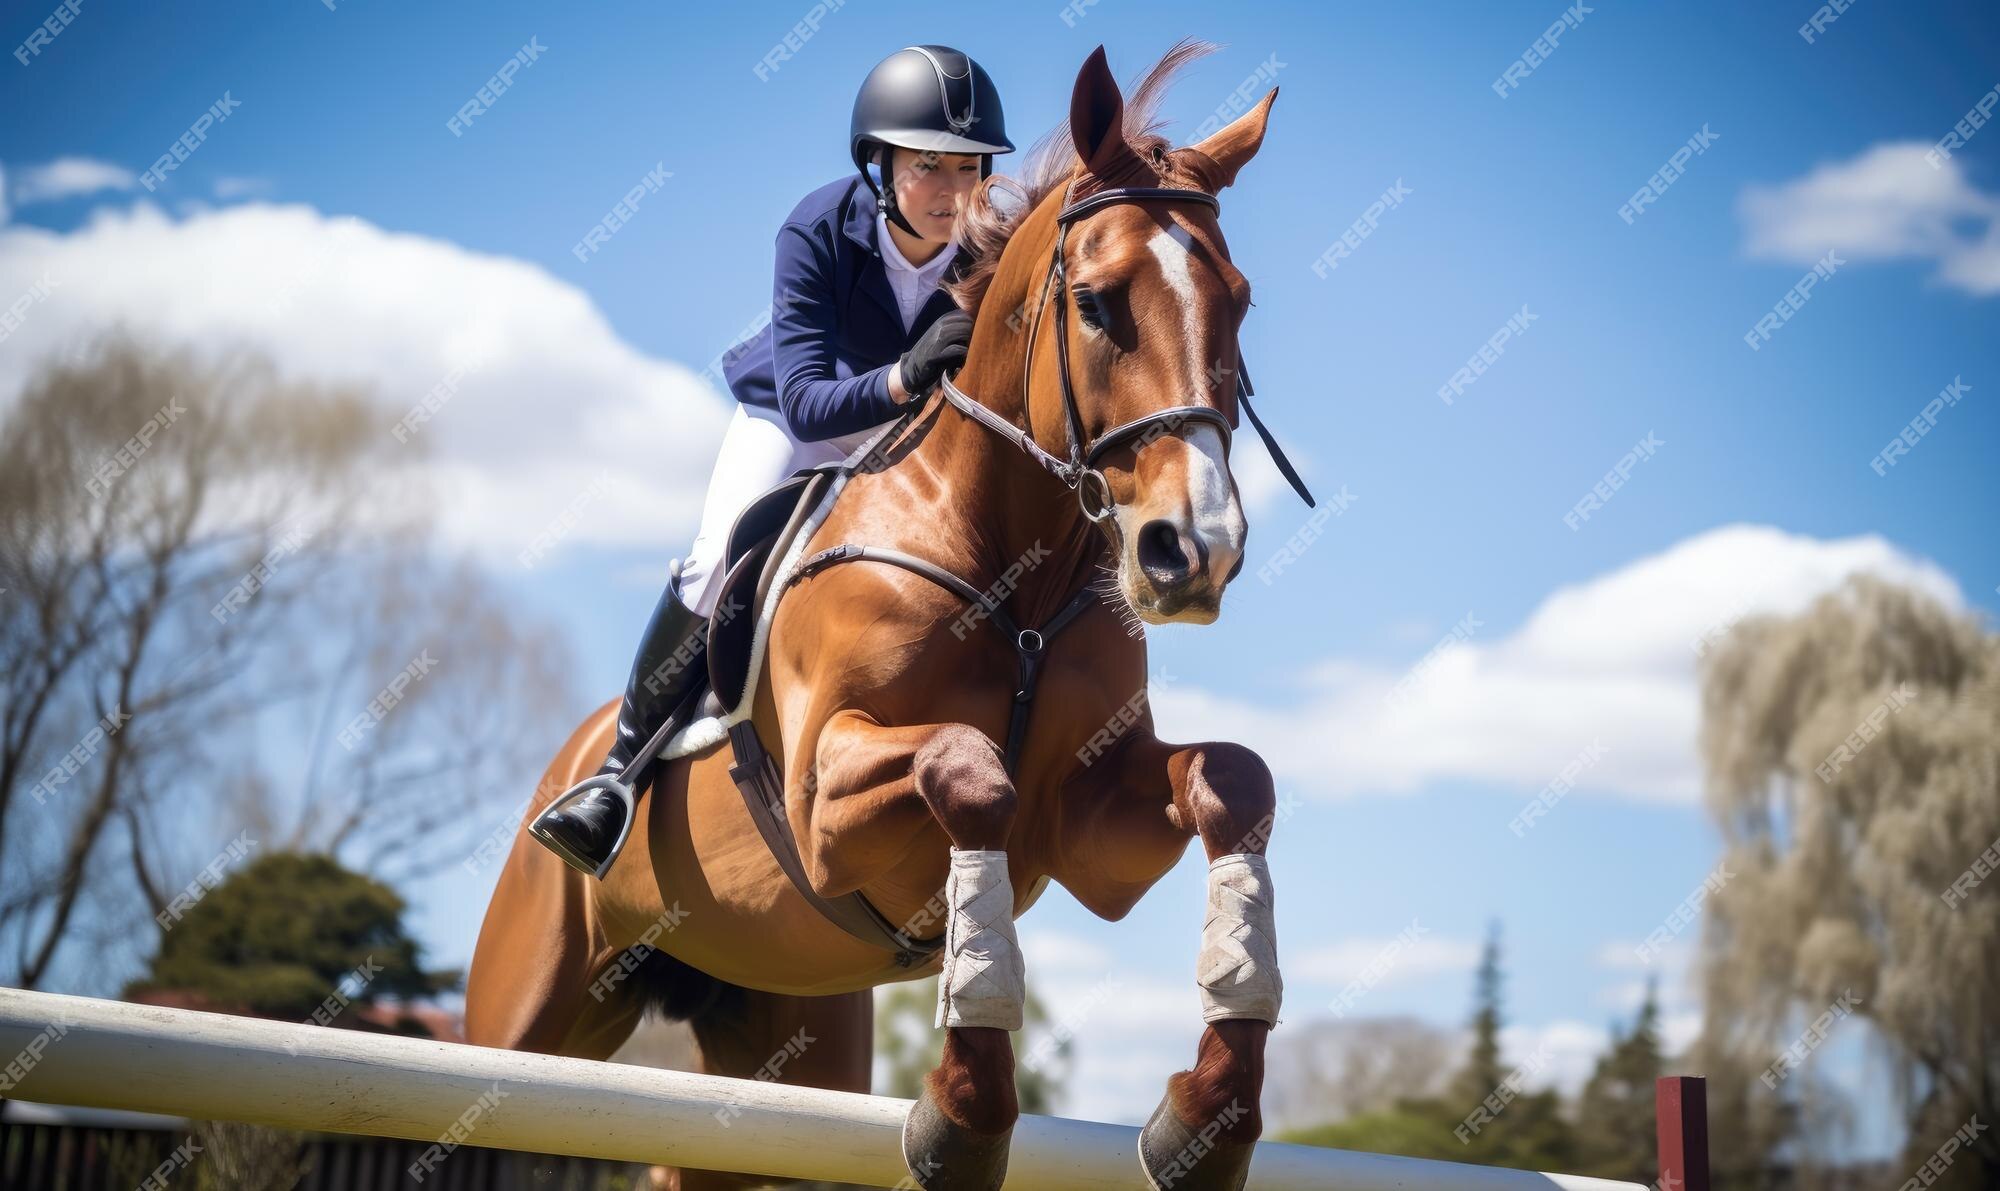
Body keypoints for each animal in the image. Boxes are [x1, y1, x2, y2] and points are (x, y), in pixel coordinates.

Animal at [462, 46, 1288, 1191]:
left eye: (1240, 305)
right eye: (1095, 303)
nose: (1194, 551)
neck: (1013, 572)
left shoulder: (1089, 834)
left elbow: (1233, 780)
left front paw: (1208, 1115)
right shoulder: (823, 803)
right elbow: (968, 772)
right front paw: (965, 1112)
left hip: (781, 1036)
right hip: (525, 1006)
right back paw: (591, 806)